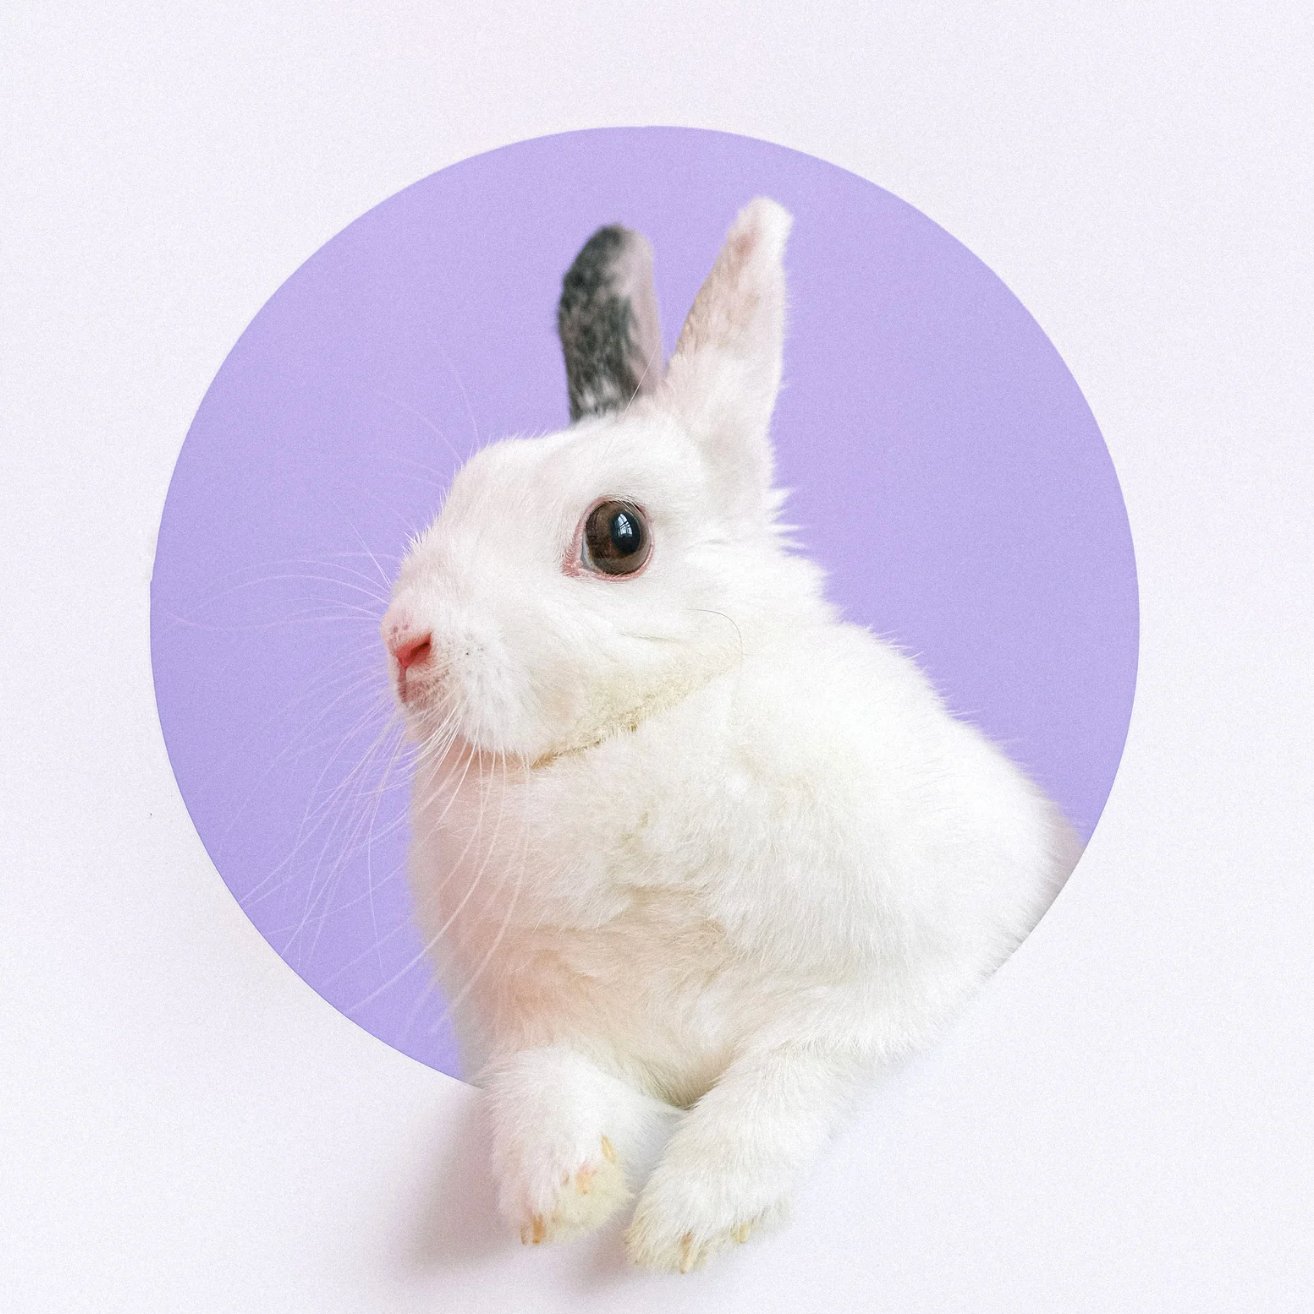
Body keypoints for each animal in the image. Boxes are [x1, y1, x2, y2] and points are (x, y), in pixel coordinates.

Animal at [381, 197, 1081, 1274]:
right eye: (469, 486)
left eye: (617, 536)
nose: (404, 642)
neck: (644, 727)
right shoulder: (538, 1030)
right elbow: (549, 1089)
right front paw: (554, 1199)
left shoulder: (889, 992)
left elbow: (781, 1086)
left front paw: (686, 1222)